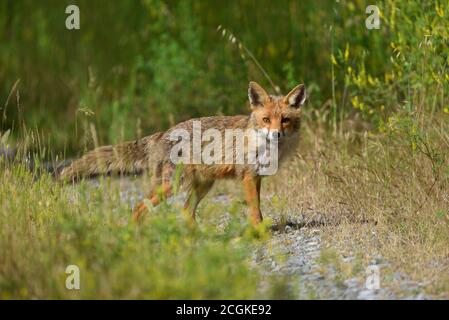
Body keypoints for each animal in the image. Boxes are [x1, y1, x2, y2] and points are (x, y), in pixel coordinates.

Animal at [59, 82, 304, 225]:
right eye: (266, 120)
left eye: (285, 120)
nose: (276, 134)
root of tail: (160, 134)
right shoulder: (248, 176)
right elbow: (254, 209)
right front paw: (259, 232)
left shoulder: (256, 177)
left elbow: (258, 207)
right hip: (172, 186)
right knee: (138, 209)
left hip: (202, 186)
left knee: (186, 212)